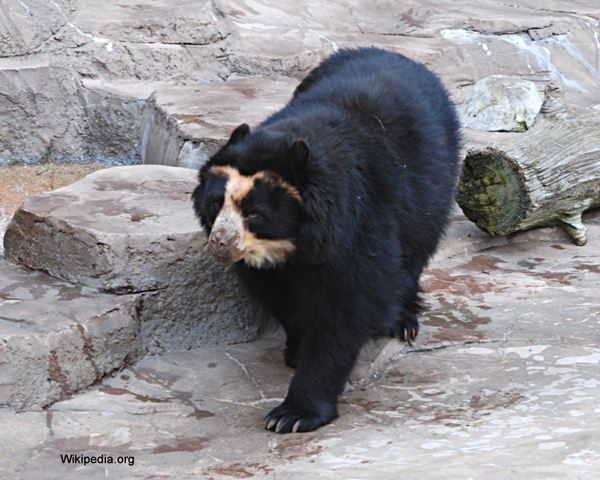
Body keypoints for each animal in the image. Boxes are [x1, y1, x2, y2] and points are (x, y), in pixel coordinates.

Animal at [192, 47, 460, 436]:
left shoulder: (357, 217)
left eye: (254, 213)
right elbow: (279, 293)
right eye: (216, 204)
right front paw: (296, 348)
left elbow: (349, 304)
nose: (221, 244)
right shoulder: (268, 264)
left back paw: (403, 320)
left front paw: (292, 414)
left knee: (416, 246)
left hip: (432, 180)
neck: (295, 240)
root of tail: (391, 53)